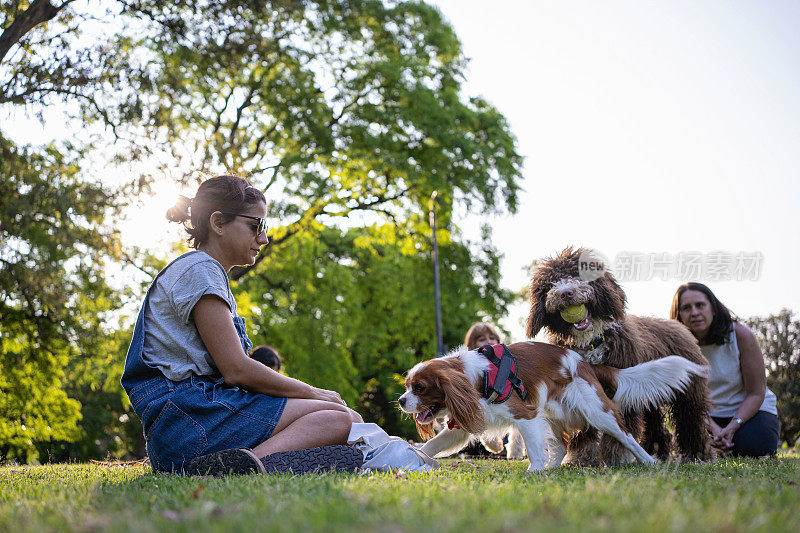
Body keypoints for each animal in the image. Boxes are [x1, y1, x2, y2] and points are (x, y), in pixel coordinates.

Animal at [524, 247, 712, 464]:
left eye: (577, 275)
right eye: (551, 284)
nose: (565, 293)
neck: (591, 342)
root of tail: (679, 326)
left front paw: (618, 456)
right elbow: (584, 432)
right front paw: (581, 457)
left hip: (688, 394)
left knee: (691, 420)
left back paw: (697, 455)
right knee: (656, 425)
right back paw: (657, 452)